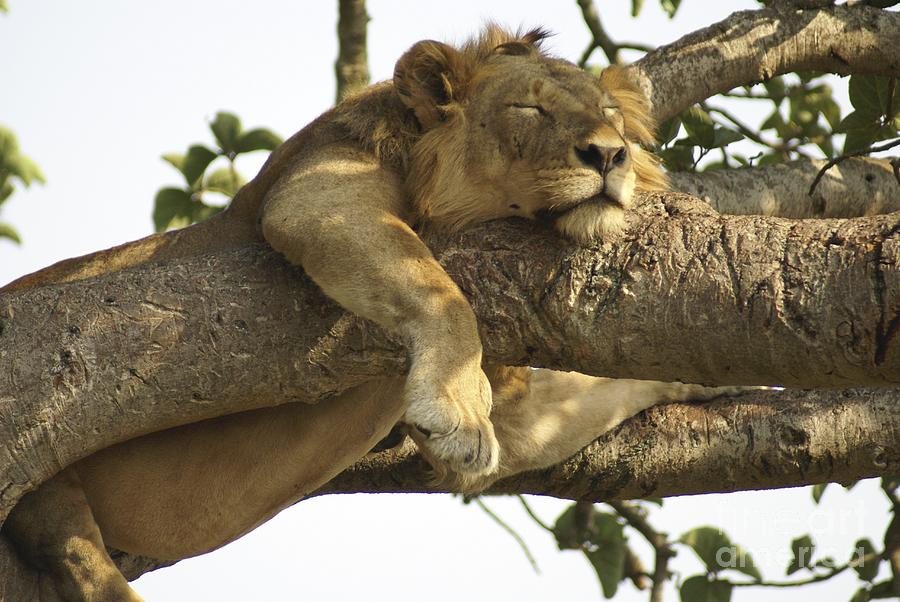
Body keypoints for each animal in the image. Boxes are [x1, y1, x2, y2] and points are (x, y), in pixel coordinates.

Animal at [1, 26, 737, 601]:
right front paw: (458, 410)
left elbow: (584, 398)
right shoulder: (317, 196)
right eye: (529, 108)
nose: (609, 154)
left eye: (611, 116)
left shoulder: (516, 411)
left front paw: (702, 379)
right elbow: (442, 292)